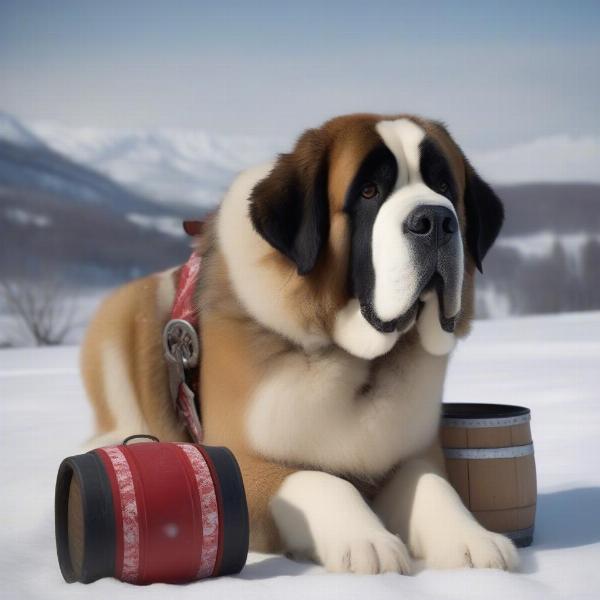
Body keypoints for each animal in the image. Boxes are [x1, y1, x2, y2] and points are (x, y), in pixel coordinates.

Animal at [81, 113, 520, 576]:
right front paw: (367, 540)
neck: (357, 360)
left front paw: (473, 538)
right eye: (368, 191)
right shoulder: (235, 461)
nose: (435, 219)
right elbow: (318, 479)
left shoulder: (412, 453)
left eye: (445, 189)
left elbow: (433, 484)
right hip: (124, 316)